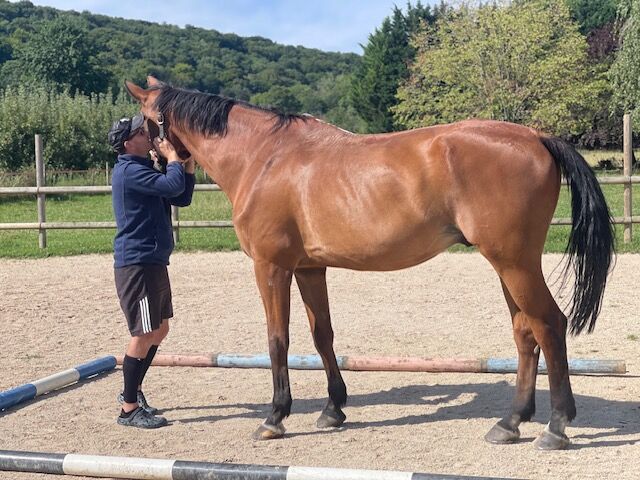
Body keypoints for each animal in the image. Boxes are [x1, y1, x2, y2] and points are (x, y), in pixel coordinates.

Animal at [126, 76, 614, 450]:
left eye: (143, 119)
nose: (120, 142)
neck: (264, 156)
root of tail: (536, 136)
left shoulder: (271, 267)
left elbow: (278, 339)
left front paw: (275, 416)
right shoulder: (309, 268)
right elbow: (322, 335)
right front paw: (333, 408)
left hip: (515, 263)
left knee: (549, 324)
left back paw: (556, 426)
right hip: (508, 266)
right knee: (525, 333)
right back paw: (511, 422)